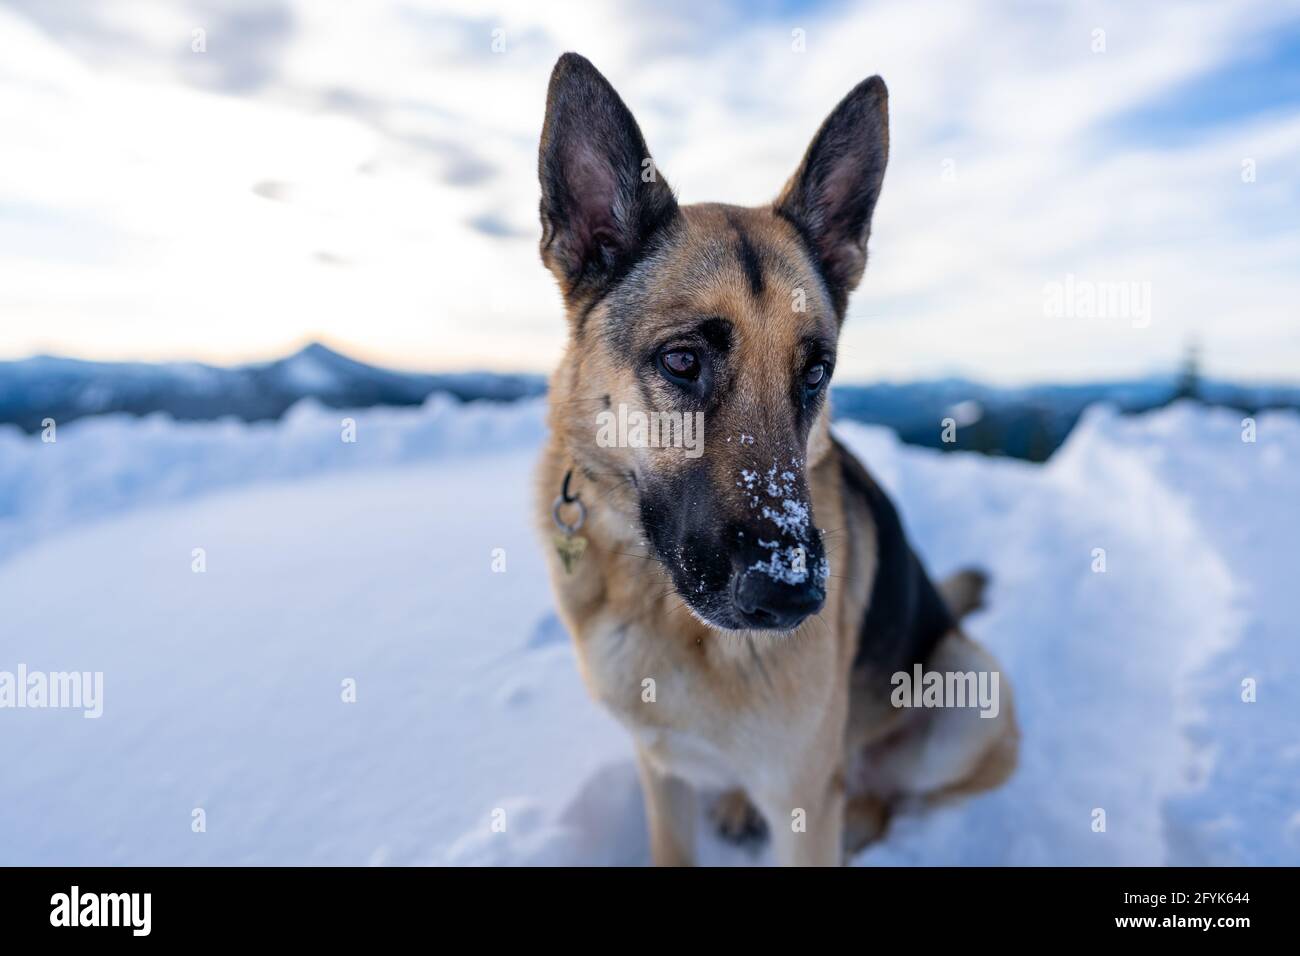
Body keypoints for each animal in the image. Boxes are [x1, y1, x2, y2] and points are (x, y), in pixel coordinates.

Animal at [533, 55, 1008, 868]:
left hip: (969, 689)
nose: (790, 596)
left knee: (881, 795)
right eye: (682, 360)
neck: (659, 607)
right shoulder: (660, 770)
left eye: (815, 373)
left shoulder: (801, 800)